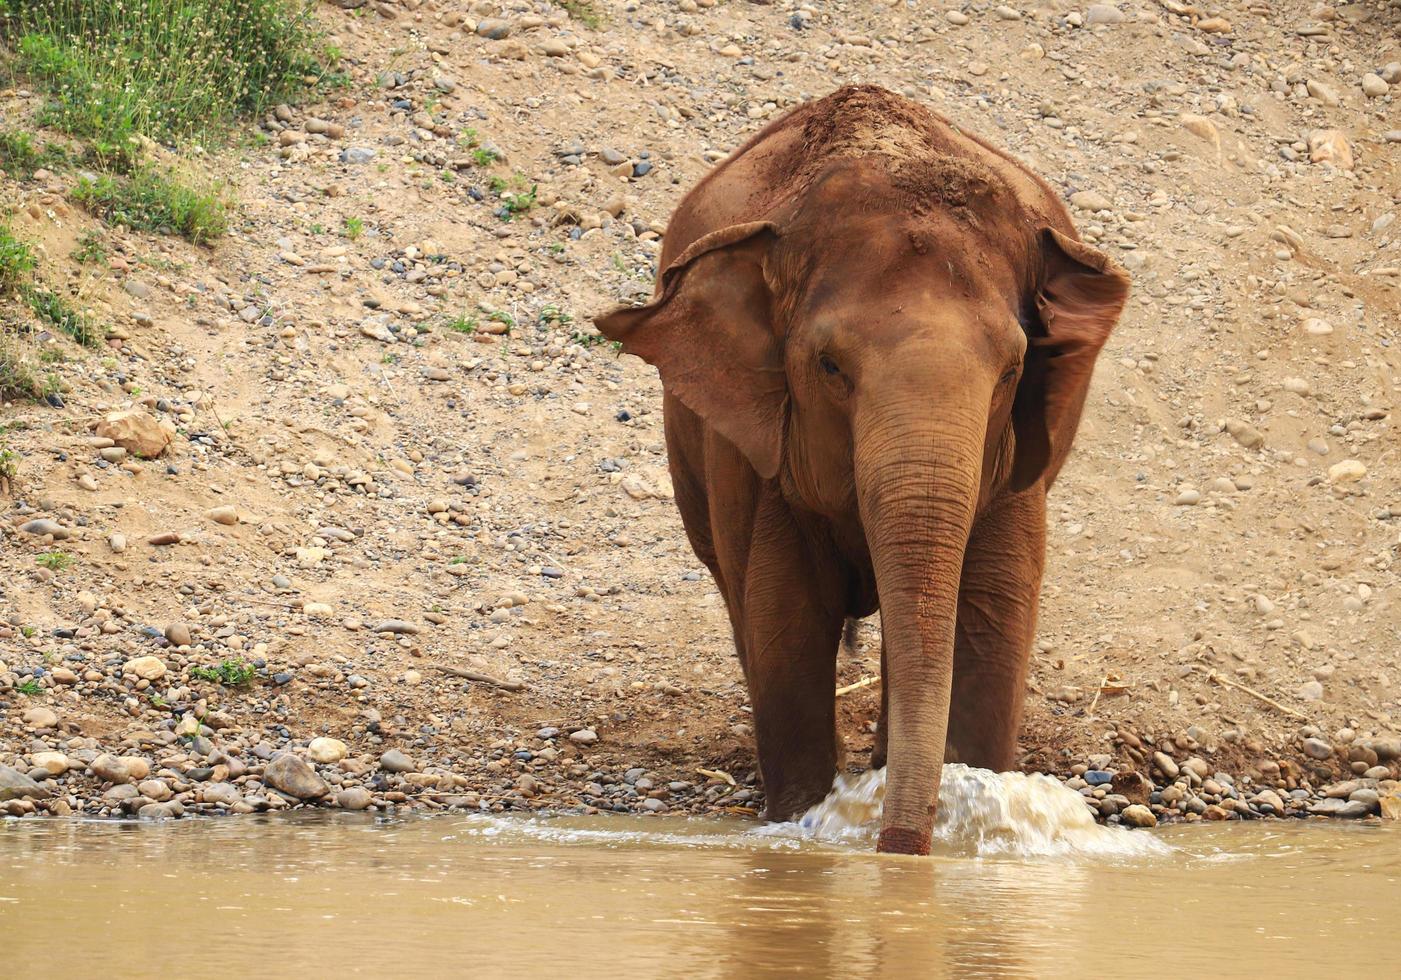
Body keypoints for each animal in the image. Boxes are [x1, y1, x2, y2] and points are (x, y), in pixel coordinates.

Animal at [591, 84, 1126, 851]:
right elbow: (786, 623)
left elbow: (991, 617)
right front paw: (802, 820)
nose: (902, 851)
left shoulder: (1017, 467)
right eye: (830, 367)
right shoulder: (760, 461)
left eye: (1012, 370)